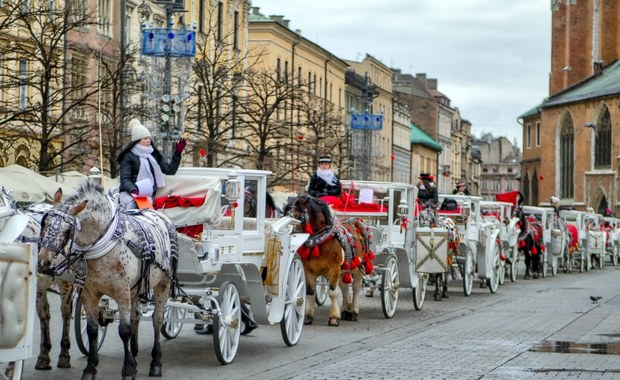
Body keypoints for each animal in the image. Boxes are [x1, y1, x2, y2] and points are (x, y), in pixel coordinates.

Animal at [0, 186, 73, 378]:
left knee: (66, 311)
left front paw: (11, 366)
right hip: (40, 287)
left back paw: (64, 355)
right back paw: (43, 356)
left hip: (66, 281)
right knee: (44, 314)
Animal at [38, 183, 177, 378]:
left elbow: (124, 330)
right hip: (136, 288)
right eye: (45, 223)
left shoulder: (121, 292)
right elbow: (92, 329)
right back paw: (135, 356)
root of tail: (162, 216)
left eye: (67, 230)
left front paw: (127, 369)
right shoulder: (87, 293)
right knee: (136, 317)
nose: (43, 262)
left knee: (157, 319)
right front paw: (90, 368)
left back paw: (155, 363)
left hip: (163, 284)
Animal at [284, 196, 376, 326]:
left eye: (296, 216)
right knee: (344, 287)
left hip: (357, 268)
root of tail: (353, 221)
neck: (321, 242)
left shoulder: (334, 269)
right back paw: (346, 310)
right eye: (286, 214)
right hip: (345, 269)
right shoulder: (308, 270)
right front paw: (308, 316)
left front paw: (334, 317)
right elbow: (310, 292)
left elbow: (333, 293)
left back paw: (353, 311)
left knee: (355, 288)